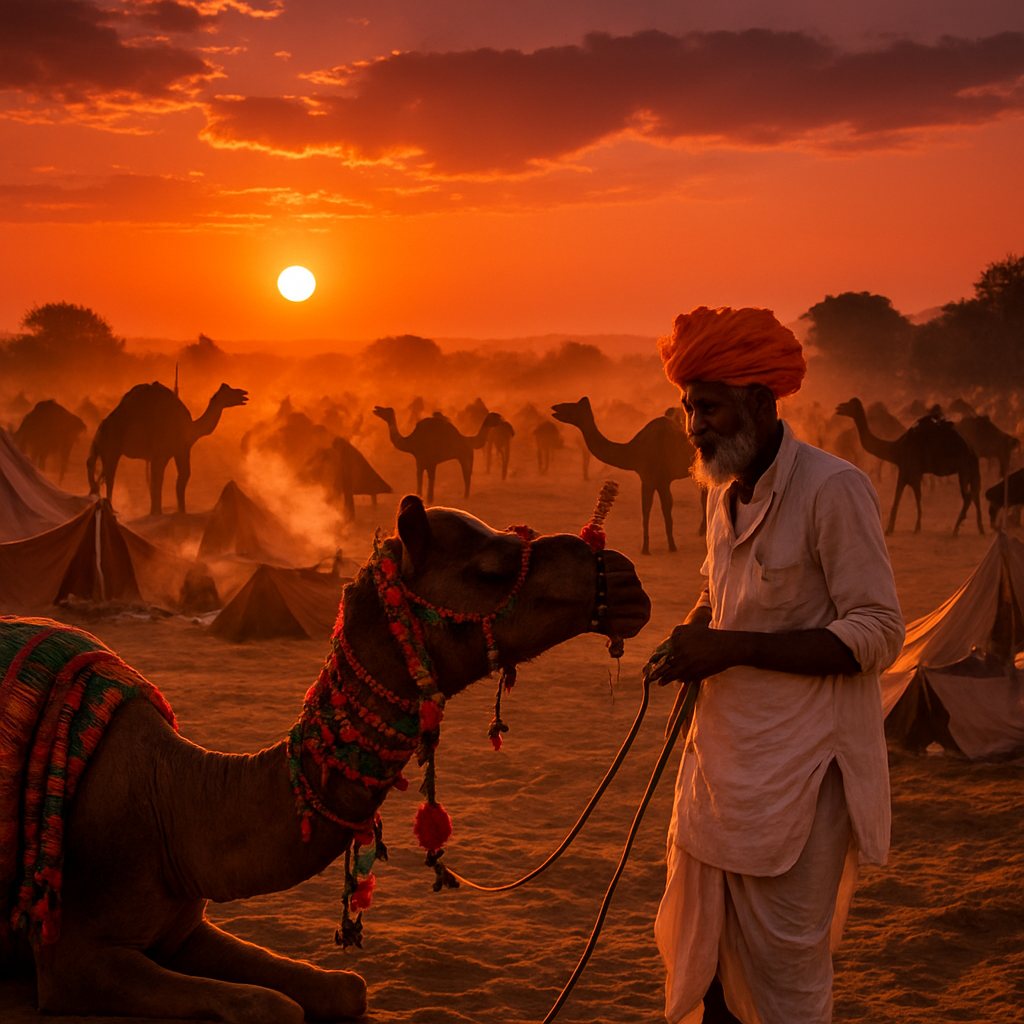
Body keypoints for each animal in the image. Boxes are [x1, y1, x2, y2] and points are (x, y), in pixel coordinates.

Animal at [1, 495, 650, 1021]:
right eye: (491, 570)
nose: (625, 581)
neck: (171, 806)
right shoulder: (74, 960)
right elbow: (270, 1008)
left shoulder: (184, 930)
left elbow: (344, 988)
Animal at [87, 382, 248, 515]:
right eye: (228, 391)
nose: (244, 393)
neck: (191, 428)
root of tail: (101, 427)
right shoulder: (169, 452)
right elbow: (168, 480)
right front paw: (162, 512)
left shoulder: (173, 452)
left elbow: (169, 480)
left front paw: (166, 511)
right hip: (111, 448)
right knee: (110, 476)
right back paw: (110, 506)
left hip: (99, 446)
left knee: (92, 465)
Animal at [373, 407, 501, 504]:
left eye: (385, 410)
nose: (376, 408)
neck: (411, 441)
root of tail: (467, 439)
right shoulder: (419, 460)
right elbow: (419, 477)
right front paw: (419, 495)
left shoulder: (431, 461)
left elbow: (431, 477)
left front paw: (430, 499)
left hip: (466, 454)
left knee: (467, 474)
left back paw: (466, 496)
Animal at [551, 397, 693, 554]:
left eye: (571, 406)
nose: (554, 407)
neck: (634, 450)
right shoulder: (647, 478)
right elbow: (647, 509)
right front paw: (646, 548)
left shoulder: (661, 479)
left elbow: (664, 509)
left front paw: (670, 547)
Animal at [835, 397, 983, 536]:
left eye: (850, 405)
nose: (838, 407)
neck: (895, 448)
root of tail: (972, 451)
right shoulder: (904, 471)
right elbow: (898, 497)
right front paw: (890, 529)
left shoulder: (913, 472)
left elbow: (916, 496)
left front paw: (916, 528)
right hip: (971, 470)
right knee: (975, 495)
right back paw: (980, 529)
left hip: (964, 468)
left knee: (968, 496)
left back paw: (956, 530)